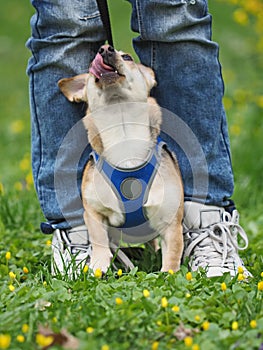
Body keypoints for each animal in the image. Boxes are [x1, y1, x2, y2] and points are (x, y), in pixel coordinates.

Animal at [58, 44, 185, 274]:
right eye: (91, 64)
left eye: (127, 57)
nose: (105, 49)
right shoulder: (93, 212)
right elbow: (99, 238)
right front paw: (99, 265)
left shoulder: (170, 221)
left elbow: (172, 253)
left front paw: (168, 275)